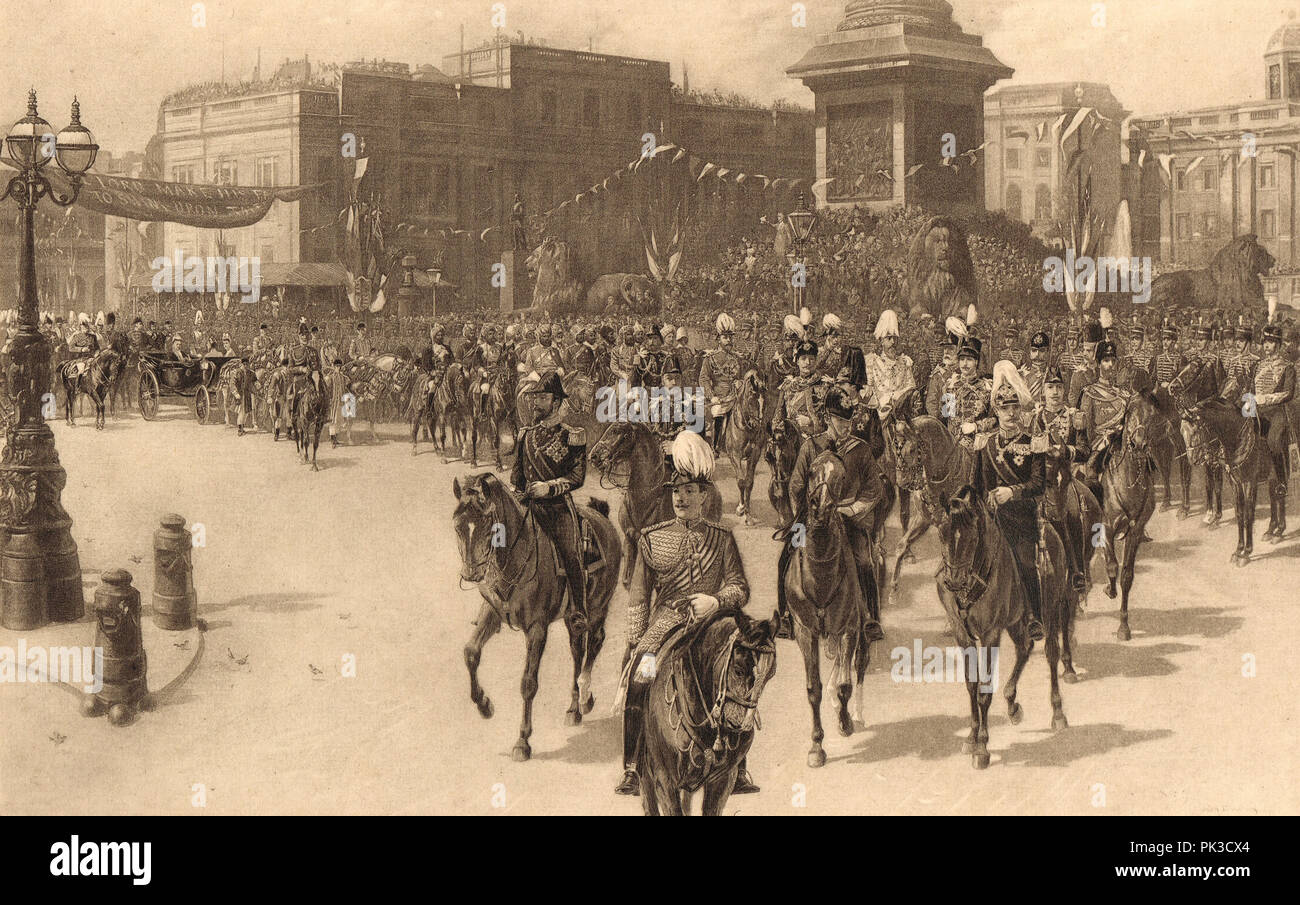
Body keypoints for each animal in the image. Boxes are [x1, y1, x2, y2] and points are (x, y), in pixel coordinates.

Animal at [454, 473, 621, 764]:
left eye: (489, 528)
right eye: (457, 527)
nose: (471, 574)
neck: (514, 556)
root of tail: (604, 518)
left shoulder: (537, 629)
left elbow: (528, 683)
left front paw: (522, 741)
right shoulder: (492, 614)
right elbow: (471, 653)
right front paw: (484, 705)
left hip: (599, 606)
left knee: (596, 642)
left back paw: (586, 699)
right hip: (572, 617)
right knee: (577, 650)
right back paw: (574, 709)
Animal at [780, 449, 873, 764]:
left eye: (842, 476)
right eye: (811, 472)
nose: (820, 510)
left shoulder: (849, 629)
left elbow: (845, 684)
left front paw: (845, 725)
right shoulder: (804, 632)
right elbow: (814, 689)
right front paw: (816, 747)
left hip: (863, 630)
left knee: (858, 666)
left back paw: (857, 715)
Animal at [941, 483, 1071, 764]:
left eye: (971, 538)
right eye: (942, 534)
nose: (954, 582)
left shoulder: (990, 634)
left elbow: (984, 690)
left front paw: (982, 747)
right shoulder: (962, 635)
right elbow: (972, 685)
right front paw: (971, 737)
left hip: (1051, 607)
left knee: (1051, 653)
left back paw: (1058, 713)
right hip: (1015, 619)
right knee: (1024, 648)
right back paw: (1012, 705)